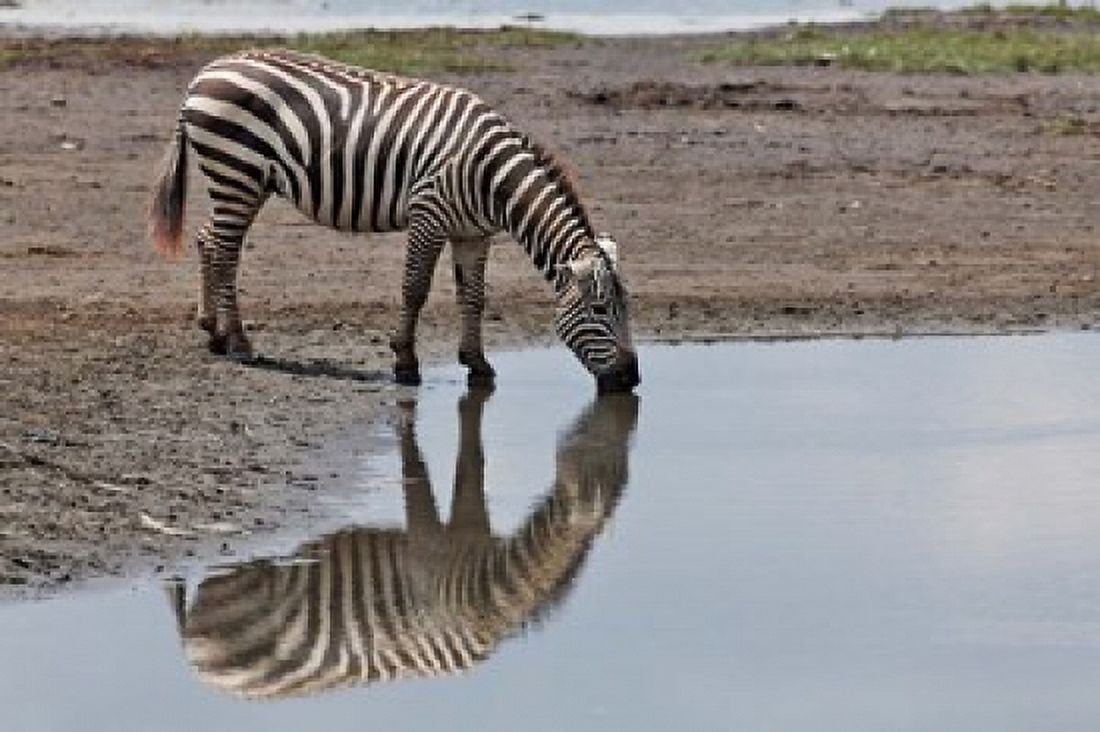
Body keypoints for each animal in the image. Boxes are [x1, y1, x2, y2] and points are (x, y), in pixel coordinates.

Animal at [149, 48, 640, 392]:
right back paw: (238, 343)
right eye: (600, 310)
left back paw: (212, 331)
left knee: (208, 239)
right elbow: (415, 288)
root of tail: (206, 71)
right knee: (226, 252)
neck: (494, 179)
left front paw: (477, 364)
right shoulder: (428, 214)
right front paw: (405, 361)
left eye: (627, 308)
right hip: (237, 172)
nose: (631, 379)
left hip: (242, 180)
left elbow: (475, 298)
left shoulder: (473, 234)